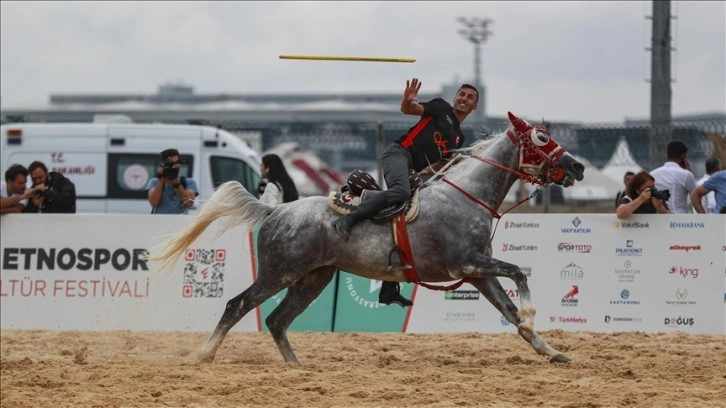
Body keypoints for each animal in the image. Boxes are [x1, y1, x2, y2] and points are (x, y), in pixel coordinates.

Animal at [152, 111, 584, 364]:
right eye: (541, 138)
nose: (577, 166)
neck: (465, 195)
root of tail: (277, 211)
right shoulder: (466, 263)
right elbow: (520, 273)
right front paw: (533, 317)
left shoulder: (477, 273)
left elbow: (509, 308)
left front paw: (552, 350)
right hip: (279, 273)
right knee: (238, 305)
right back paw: (204, 355)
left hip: (313, 279)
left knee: (276, 320)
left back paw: (294, 366)